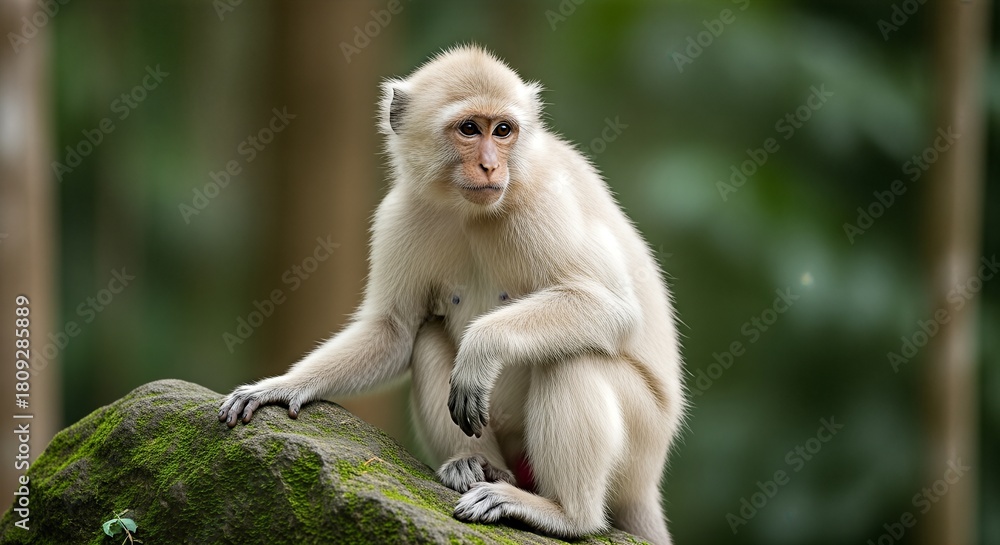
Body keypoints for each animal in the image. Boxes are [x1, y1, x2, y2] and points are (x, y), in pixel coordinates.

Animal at [218, 45, 685, 545]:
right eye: (469, 129)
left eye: (503, 130)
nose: (490, 165)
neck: (472, 211)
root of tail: (649, 482)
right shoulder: (403, 212)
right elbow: (394, 331)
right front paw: (282, 386)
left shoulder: (545, 203)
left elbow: (612, 308)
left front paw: (483, 347)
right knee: (427, 338)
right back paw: (479, 466)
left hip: (642, 443)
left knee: (573, 357)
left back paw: (565, 514)